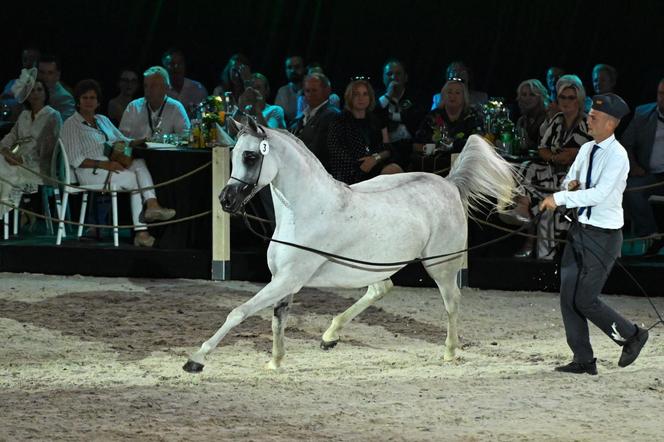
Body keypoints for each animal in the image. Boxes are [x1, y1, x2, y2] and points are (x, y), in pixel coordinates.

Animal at [183, 118, 520, 372]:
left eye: (251, 156)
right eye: (234, 155)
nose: (226, 200)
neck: (306, 211)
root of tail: (448, 184)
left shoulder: (287, 280)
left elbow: (239, 312)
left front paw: (196, 359)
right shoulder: (283, 281)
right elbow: (278, 319)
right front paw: (275, 362)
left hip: (441, 266)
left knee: (451, 301)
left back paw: (450, 351)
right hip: (374, 267)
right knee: (381, 289)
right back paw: (329, 335)